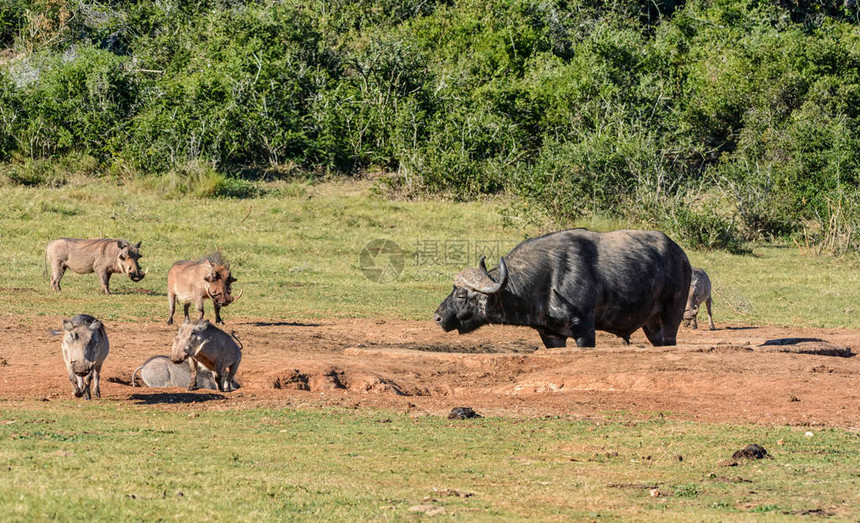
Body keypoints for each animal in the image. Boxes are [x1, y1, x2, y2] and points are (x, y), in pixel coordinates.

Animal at [436, 229, 692, 348]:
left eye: (461, 294)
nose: (438, 317)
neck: (548, 279)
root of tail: (681, 256)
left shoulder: (585, 331)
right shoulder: (551, 335)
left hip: (671, 319)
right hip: (651, 325)